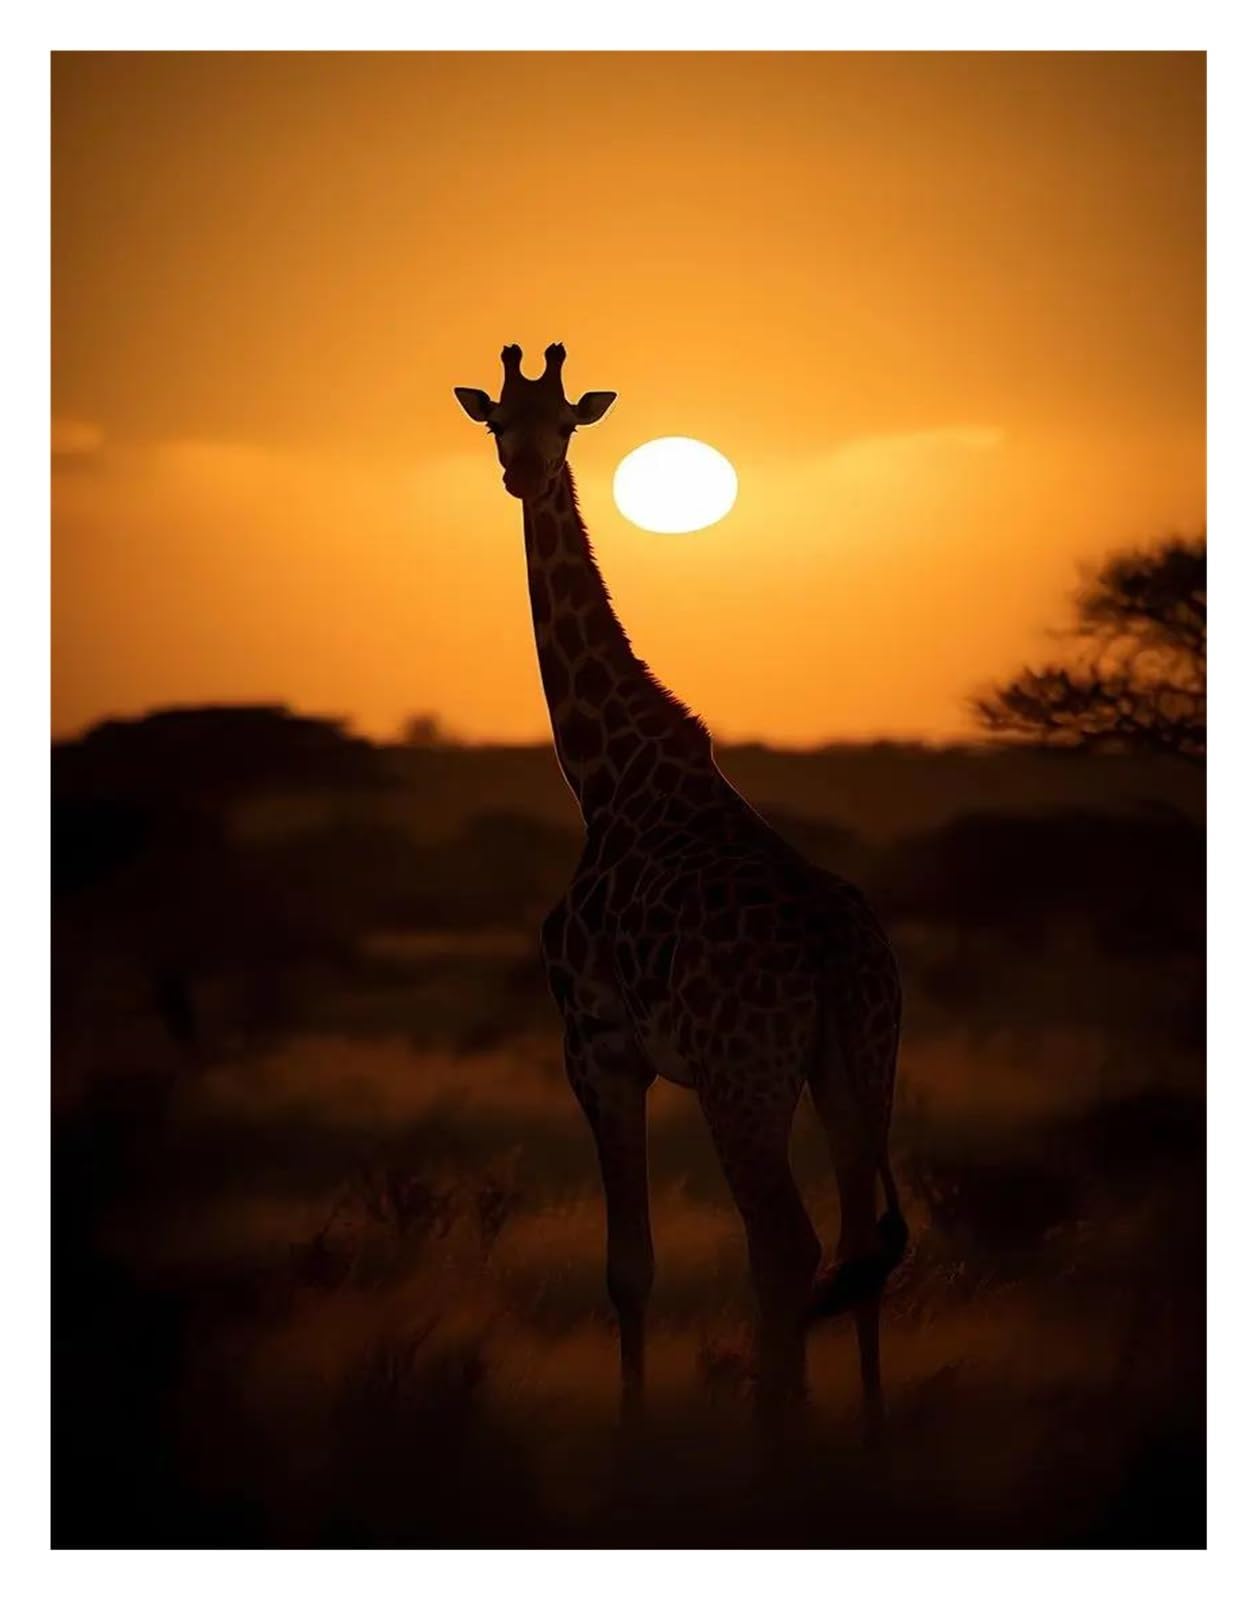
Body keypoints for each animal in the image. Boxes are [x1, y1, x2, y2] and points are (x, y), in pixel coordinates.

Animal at [454, 343, 907, 1434]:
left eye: (563, 423)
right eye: (499, 422)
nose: (524, 474)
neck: (605, 777)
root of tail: (836, 952)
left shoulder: (596, 1046)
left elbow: (629, 1268)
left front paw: (632, 1435)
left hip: (747, 1074)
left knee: (788, 1242)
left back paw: (776, 1439)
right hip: (859, 1063)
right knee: (862, 1241)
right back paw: (867, 1435)